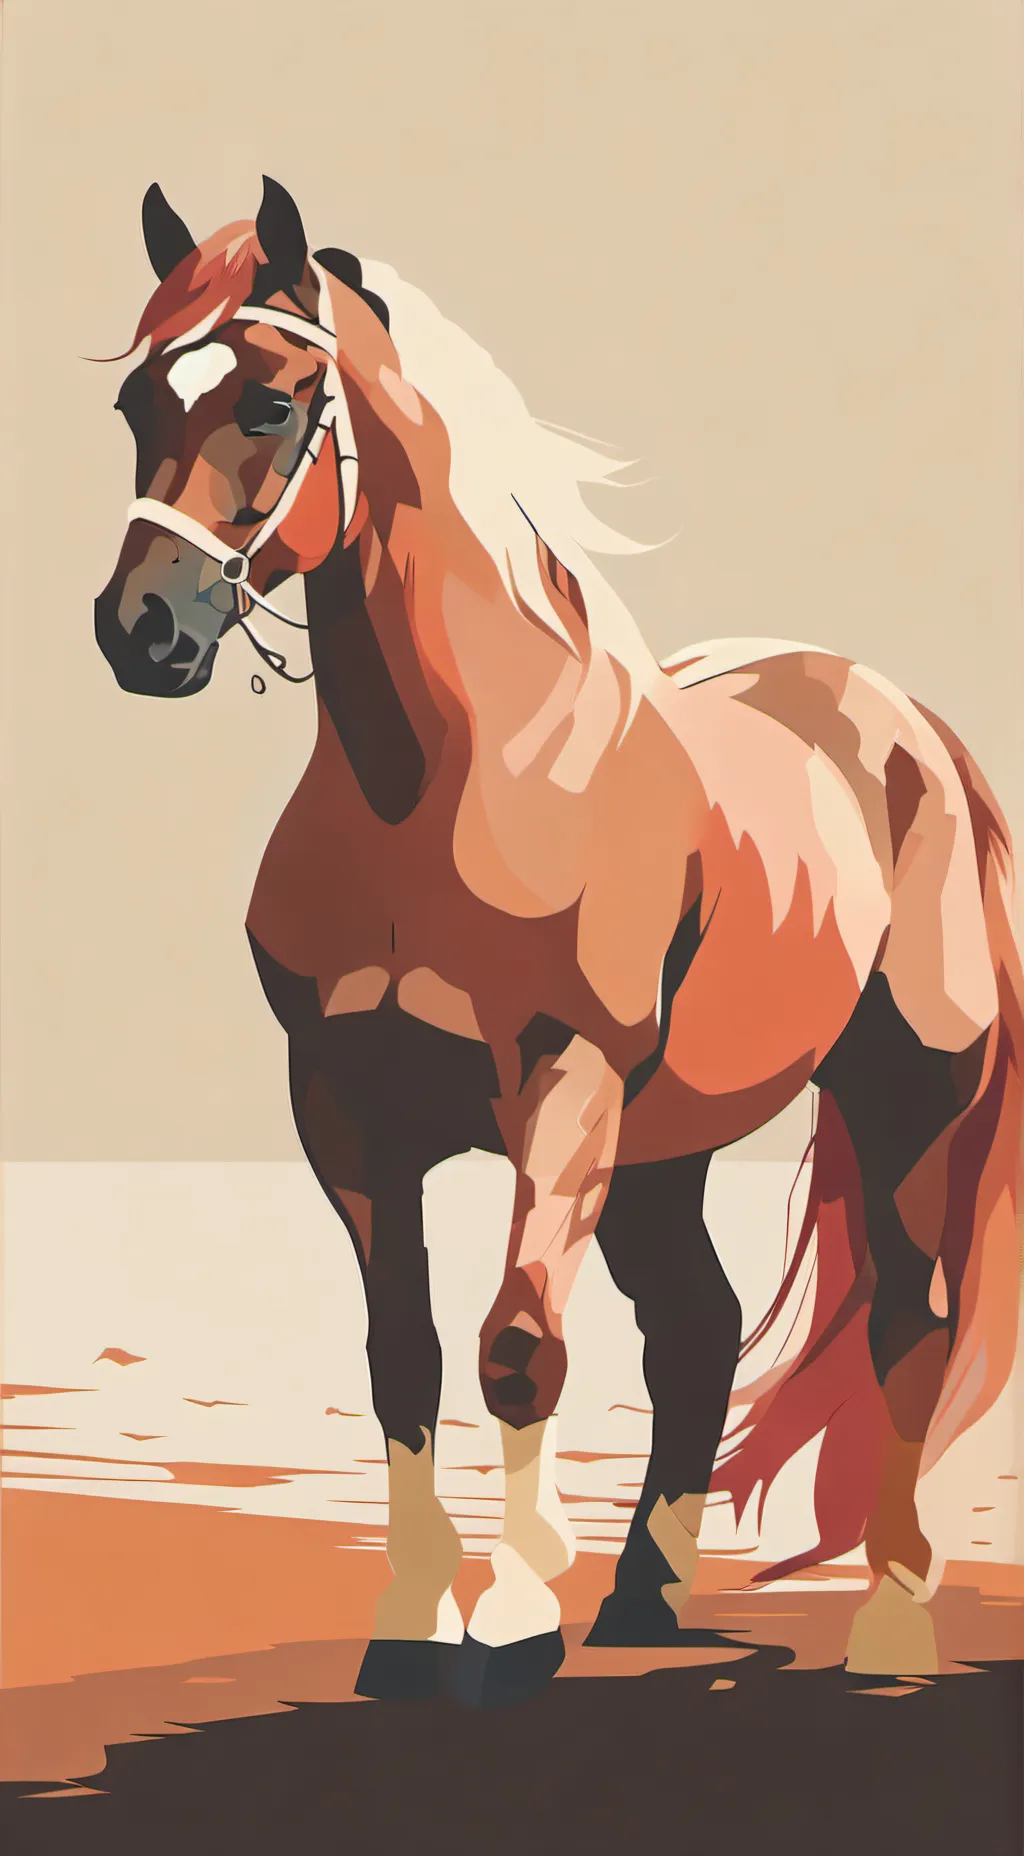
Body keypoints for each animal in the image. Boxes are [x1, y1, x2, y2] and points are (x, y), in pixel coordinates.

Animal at [94, 177, 1023, 1704]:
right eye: (133, 402)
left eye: (275, 401)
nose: (142, 630)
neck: (445, 784)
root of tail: (908, 729)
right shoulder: (345, 1110)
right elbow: (403, 1354)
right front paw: (412, 1621)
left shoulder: (562, 1084)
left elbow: (518, 1344)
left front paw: (515, 1617)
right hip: (662, 1149)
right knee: (699, 1325)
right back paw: (644, 1597)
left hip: (903, 1106)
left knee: (910, 1320)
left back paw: (888, 1621)